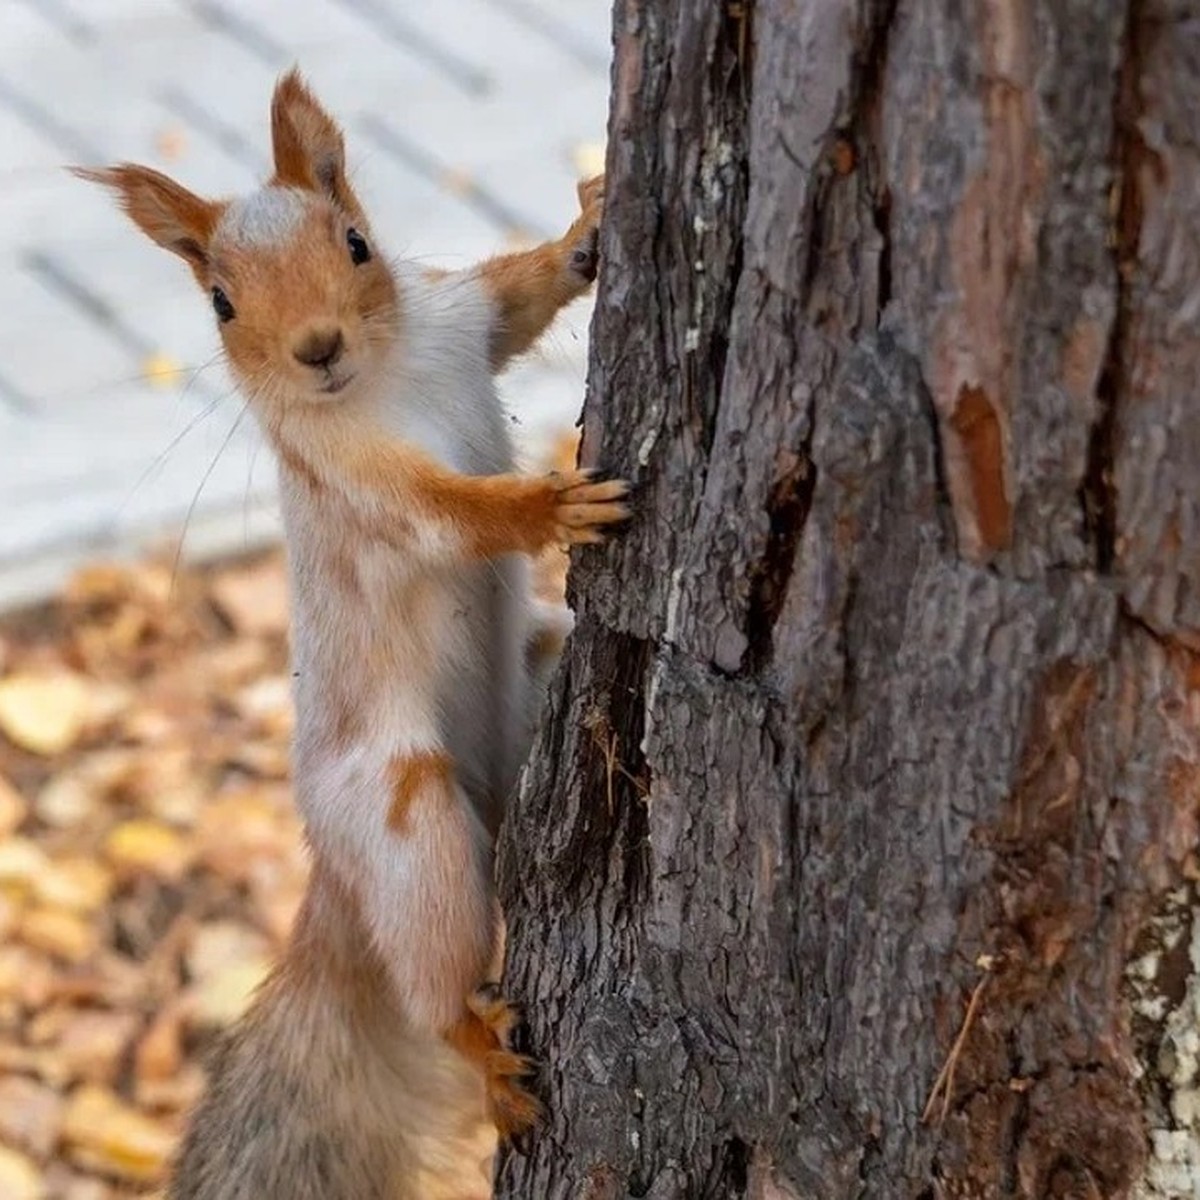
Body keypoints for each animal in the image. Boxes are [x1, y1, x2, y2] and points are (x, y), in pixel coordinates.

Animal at [77, 70, 628, 1195]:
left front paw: (587, 228)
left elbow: (518, 302)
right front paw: (547, 507)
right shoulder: (358, 481)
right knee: (435, 979)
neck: (387, 374)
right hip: (401, 827)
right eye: (221, 303)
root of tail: (333, 883)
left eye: (357, 242)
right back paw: (480, 1054)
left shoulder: (461, 322)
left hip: (541, 657)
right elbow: (449, 516)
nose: (317, 349)